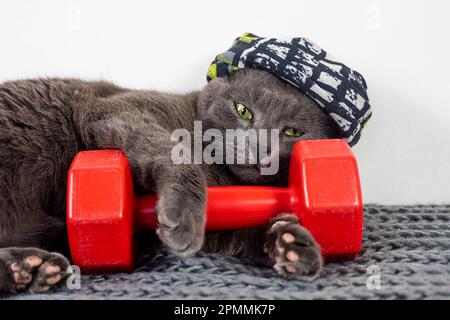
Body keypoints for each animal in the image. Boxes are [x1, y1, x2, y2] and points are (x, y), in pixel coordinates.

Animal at [0, 69, 338, 294]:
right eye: (243, 111)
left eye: (293, 132)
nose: (259, 148)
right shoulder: (120, 109)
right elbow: (177, 155)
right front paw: (184, 215)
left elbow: (246, 229)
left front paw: (292, 242)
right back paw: (28, 267)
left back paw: (32, 268)